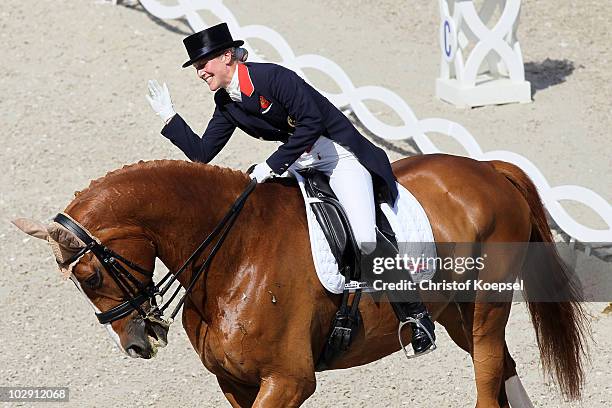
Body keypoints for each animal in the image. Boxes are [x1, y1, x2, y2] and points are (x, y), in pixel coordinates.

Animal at [14, 155, 588, 406]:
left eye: (89, 275)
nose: (138, 342)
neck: (233, 252)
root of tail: (488, 168)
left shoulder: (288, 380)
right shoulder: (235, 381)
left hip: (487, 306)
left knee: (489, 373)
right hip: (454, 314)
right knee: (503, 366)